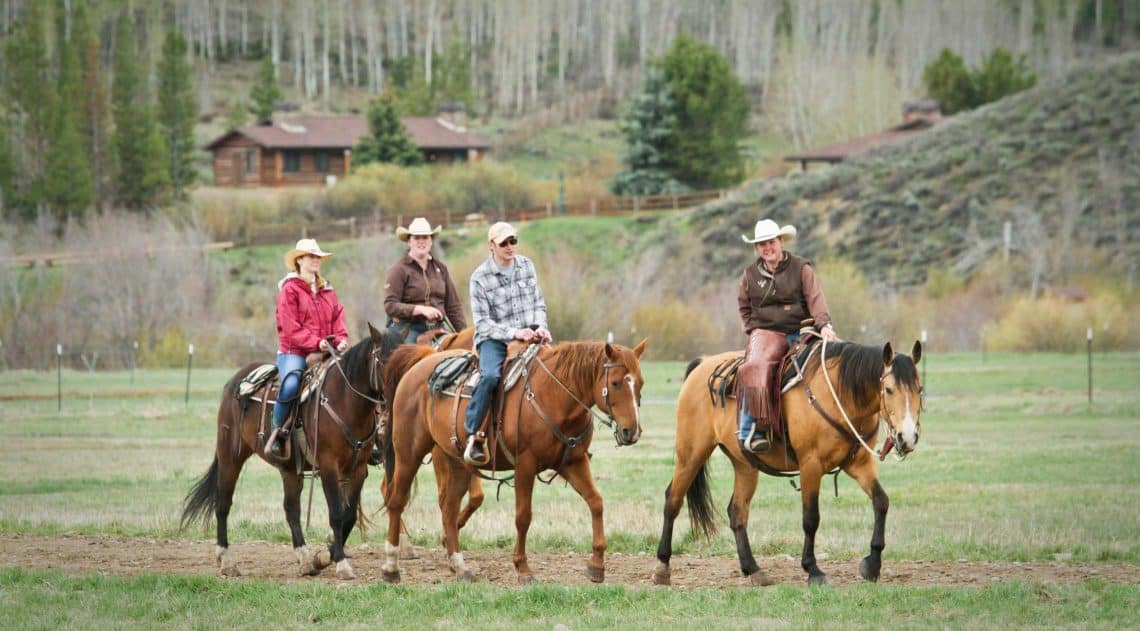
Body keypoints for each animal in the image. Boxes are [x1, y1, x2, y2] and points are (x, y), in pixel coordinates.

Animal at [181, 321, 401, 576]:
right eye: (383, 360)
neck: (343, 402)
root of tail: (234, 382)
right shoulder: (328, 466)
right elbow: (336, 514)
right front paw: (341, 563)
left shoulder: (357, 470)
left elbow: (348, 515)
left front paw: (325, 555)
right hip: (230, 458)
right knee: (223, 504)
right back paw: (226, 561)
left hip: (288, 469)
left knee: (291, 509)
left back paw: (304, 559)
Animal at [378, 337, 647, 583]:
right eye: (615, 383)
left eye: (640, 383)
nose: (631, 432)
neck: (554, 396)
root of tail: (421, 364)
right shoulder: (525, 465)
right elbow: (523, 516)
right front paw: (523, 568)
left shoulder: (574, 462)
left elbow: (596, 502)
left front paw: (597, 565)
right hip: (408, 452)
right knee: (397, 501)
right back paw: (391, 567)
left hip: (456, 462)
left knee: (449, 507)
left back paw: (460, 566)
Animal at [656, 339, 921, 583]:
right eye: (889, 389)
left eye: (919, 389)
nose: (907, 437)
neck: (839, 395)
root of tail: (703, 365)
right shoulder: (810, 465)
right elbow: (811, 518)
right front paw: (813, 570)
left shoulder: (859, 463)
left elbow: (881, 502)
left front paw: (872, 564)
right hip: (691, 454)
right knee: (673, 500)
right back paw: (662, 566)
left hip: (744, 465)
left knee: (737, 511)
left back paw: (753, 569)